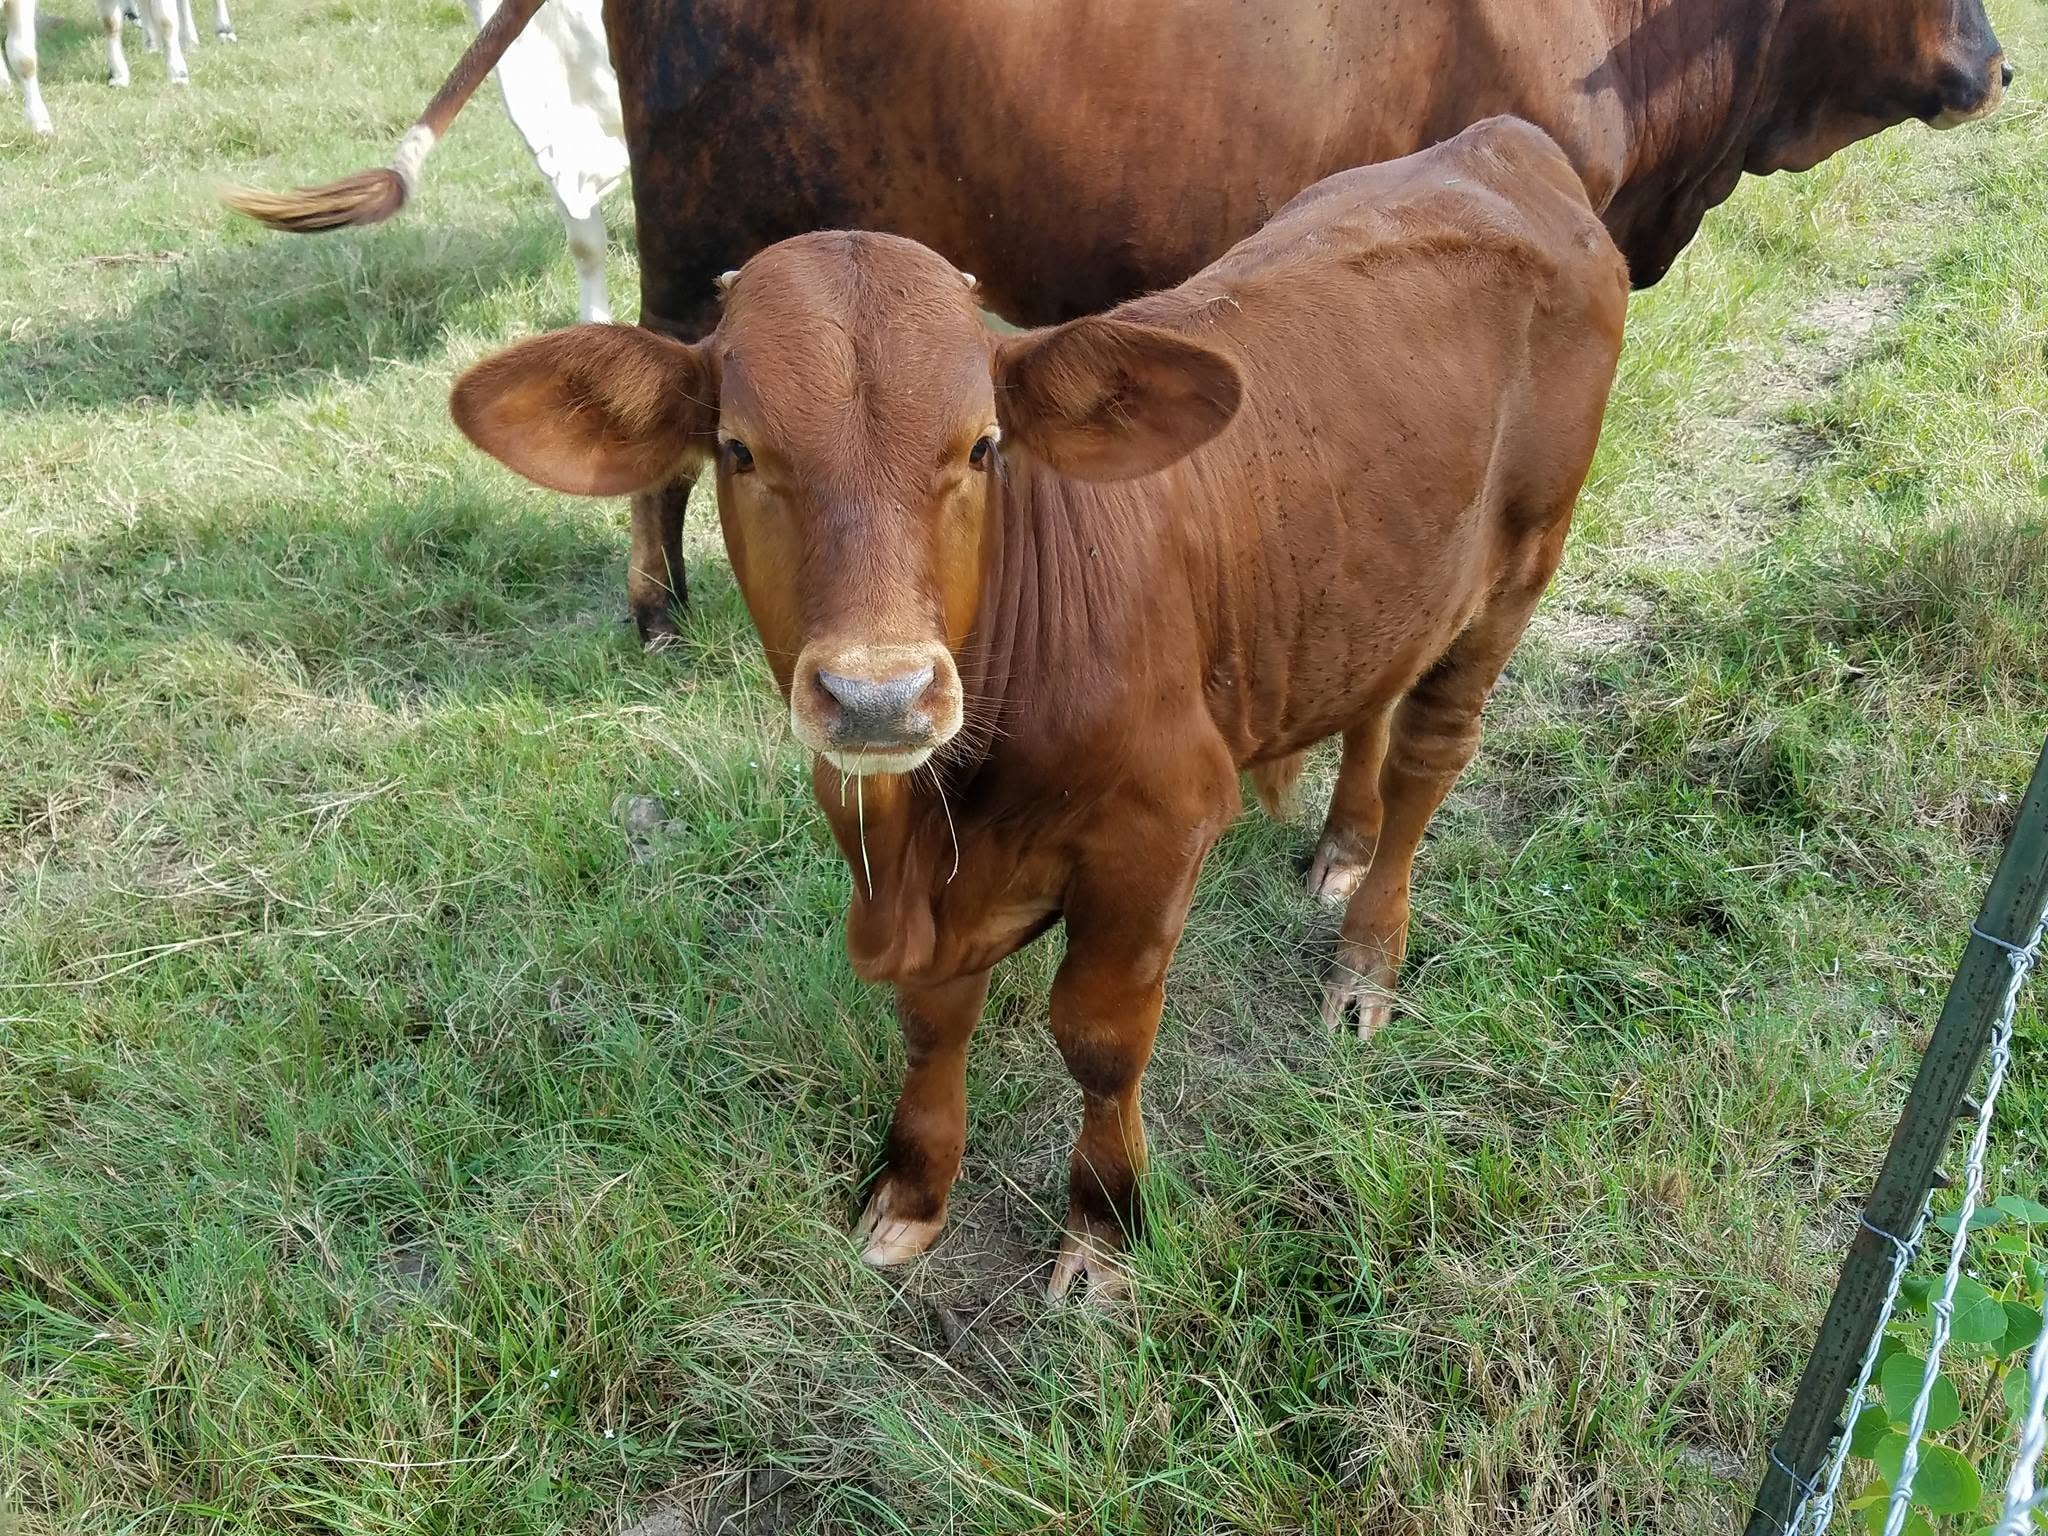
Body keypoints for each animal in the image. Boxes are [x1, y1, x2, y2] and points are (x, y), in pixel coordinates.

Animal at [444, 117, 1632, 1295]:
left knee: (1428, 756)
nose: (877, 696)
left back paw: (1365, 962)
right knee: (1375, 704)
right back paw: (1341, 843)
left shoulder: (1160, 829)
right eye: (738, 448)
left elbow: (1098, 1038)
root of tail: (1499, 144)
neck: (936, 821)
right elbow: (931, 1020)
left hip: (1520, 565)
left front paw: (1103, 1223)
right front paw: (913, 1189)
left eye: (982, 446)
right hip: (1381, 585)